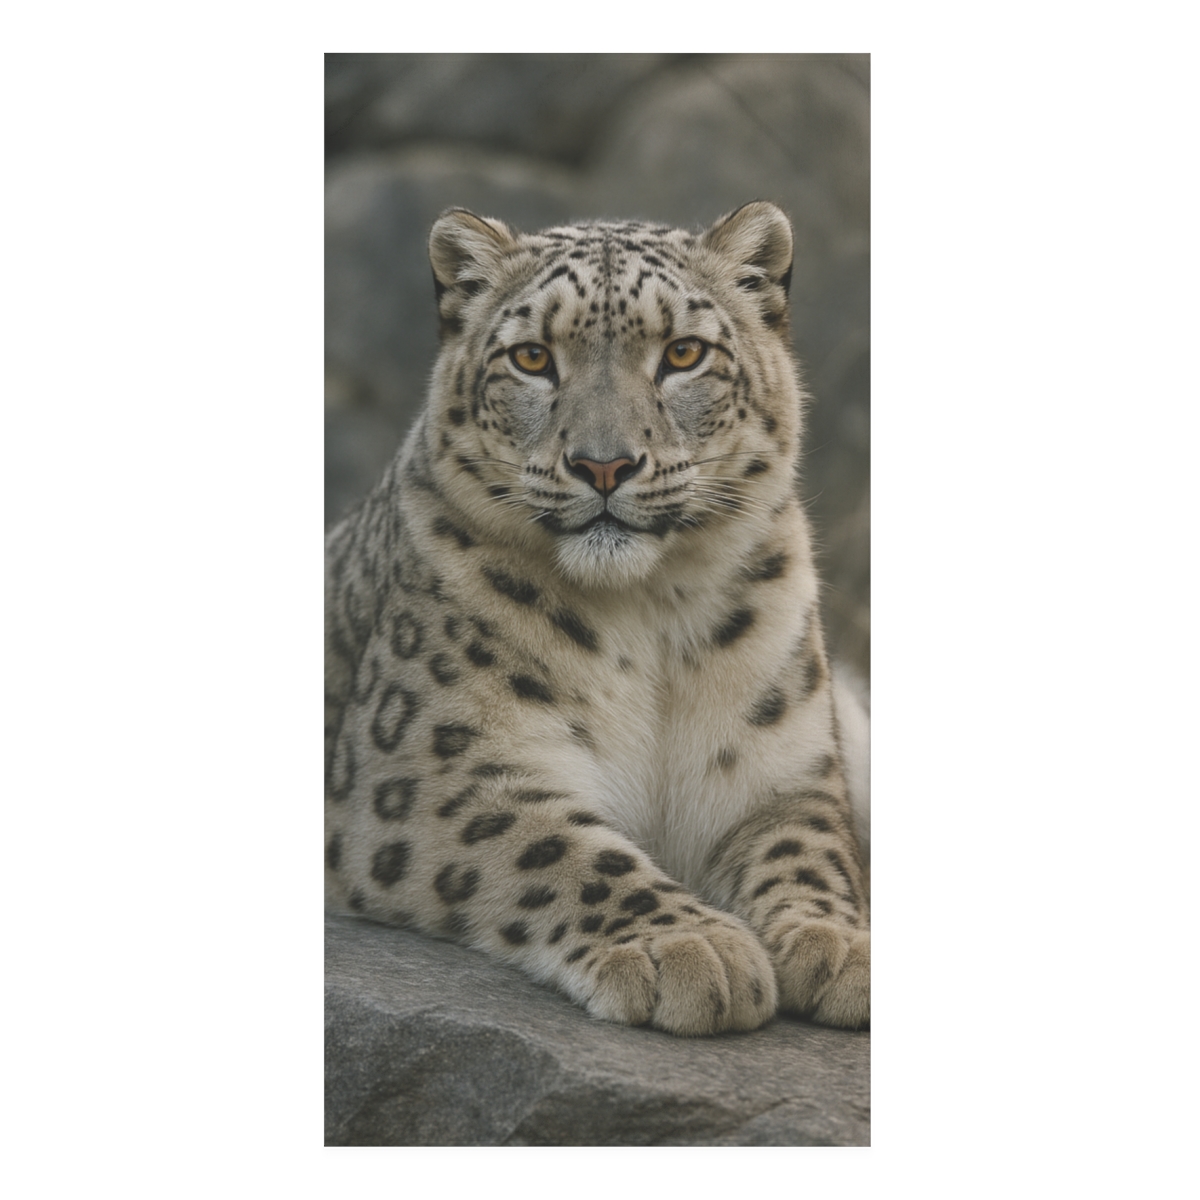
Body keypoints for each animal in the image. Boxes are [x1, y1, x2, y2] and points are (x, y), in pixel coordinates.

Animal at [325, 201, 870, 1036]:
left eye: (682, 352)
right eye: (531, 358)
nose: (603, 464)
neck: (651, 620)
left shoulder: (778, 769)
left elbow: (810, 850)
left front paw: (839, 945)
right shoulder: (436, 772)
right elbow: (560, 849)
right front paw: (689, 950)